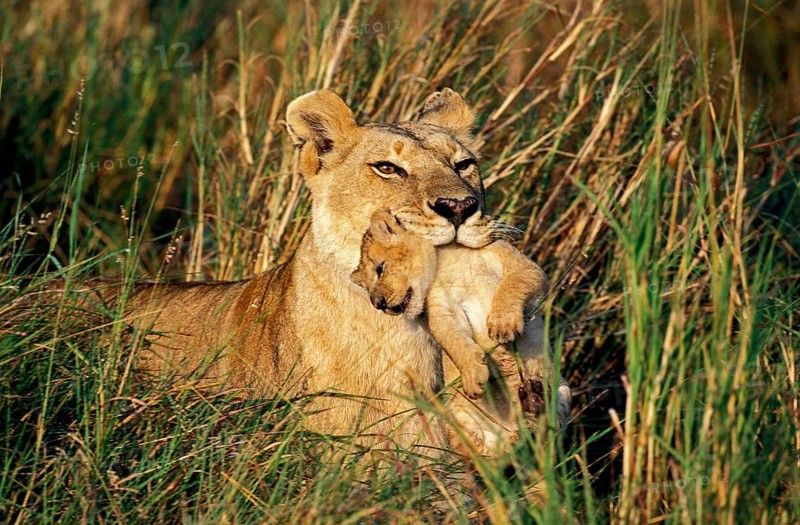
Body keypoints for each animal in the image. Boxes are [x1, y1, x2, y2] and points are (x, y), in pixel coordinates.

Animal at [350, 210, 572, 455]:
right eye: (367, 289)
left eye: (380, 269)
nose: (377, 303)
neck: (447, 260)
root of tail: (510, 435)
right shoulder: (442, 306)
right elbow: (452, 339)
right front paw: (474, 376)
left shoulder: (522, 265)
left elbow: (513, 286)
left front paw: (502, 326)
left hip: (563, 394)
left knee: (546, 436)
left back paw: (534, 400)